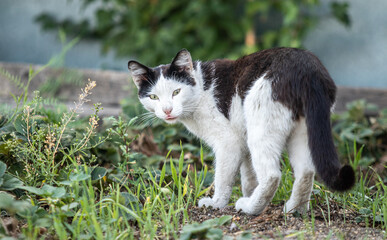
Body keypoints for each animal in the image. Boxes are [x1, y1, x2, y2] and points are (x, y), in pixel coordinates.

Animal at [127, 47, 354, 215]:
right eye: (154, 97)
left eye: (176, 92)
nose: (167, 110)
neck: (201, 89)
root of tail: (307, 69)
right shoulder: (242, 142)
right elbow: (248, 177)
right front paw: (248, 193)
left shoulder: (229, 143)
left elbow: (223, 178)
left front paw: (217, 203)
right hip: (302, 133)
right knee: (306, 173)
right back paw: (294, 210)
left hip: (260, 127)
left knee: (272, 176)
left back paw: (251, 208)